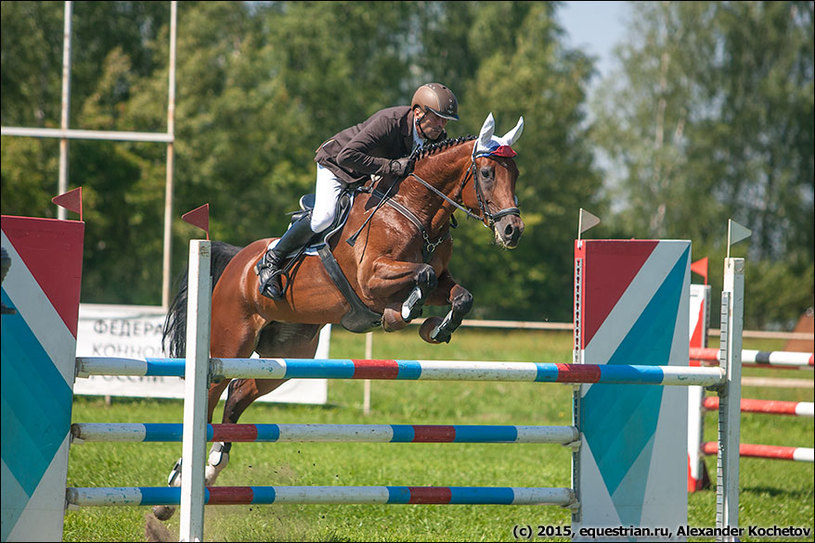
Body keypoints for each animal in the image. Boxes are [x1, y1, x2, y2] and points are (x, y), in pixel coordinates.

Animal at [151, 112, 524, 520]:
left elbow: (460, 296)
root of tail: (237, 259)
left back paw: (213, 465)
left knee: (238, 394)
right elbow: (420, 277)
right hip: (230, 343)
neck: (414, 212)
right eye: (486, 173)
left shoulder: (442, 280)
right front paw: (403, 312)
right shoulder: (371, 280)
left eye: (515, 174)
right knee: (209, 395)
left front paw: (435, 328)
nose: (512, 231)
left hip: (288, 353)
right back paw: (177, 483)